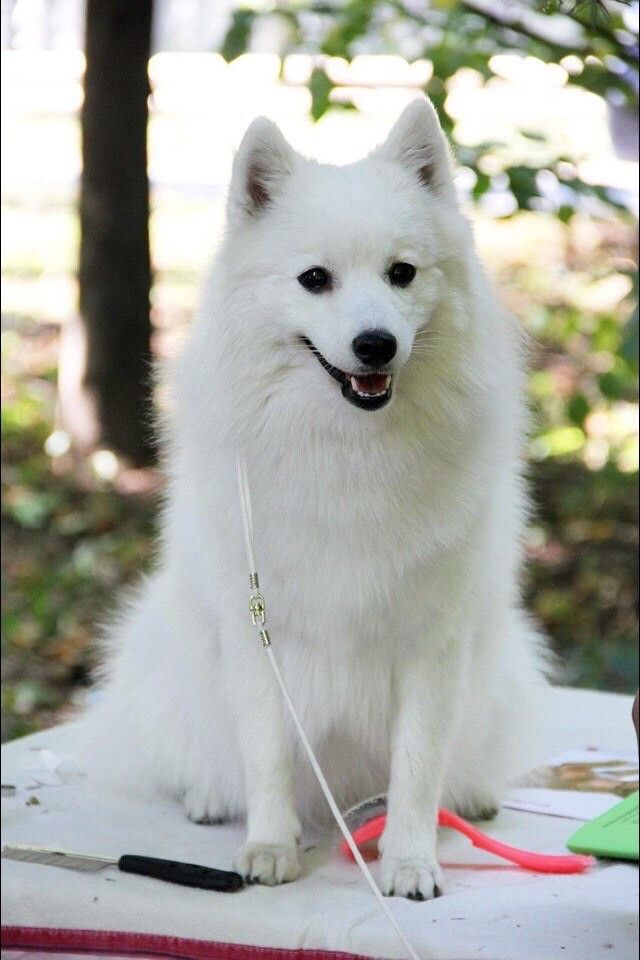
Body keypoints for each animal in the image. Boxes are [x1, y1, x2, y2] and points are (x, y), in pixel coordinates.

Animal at [89, 97, 549, 900]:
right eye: (314, 279)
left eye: (402, 274)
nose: (375, 345)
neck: (347, 444)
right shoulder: (259, 639)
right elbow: (267, 754)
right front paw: (270, 848)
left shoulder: (432, 645)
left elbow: (417, 767)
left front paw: (409, 861)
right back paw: (210, 798)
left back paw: (469, 799)